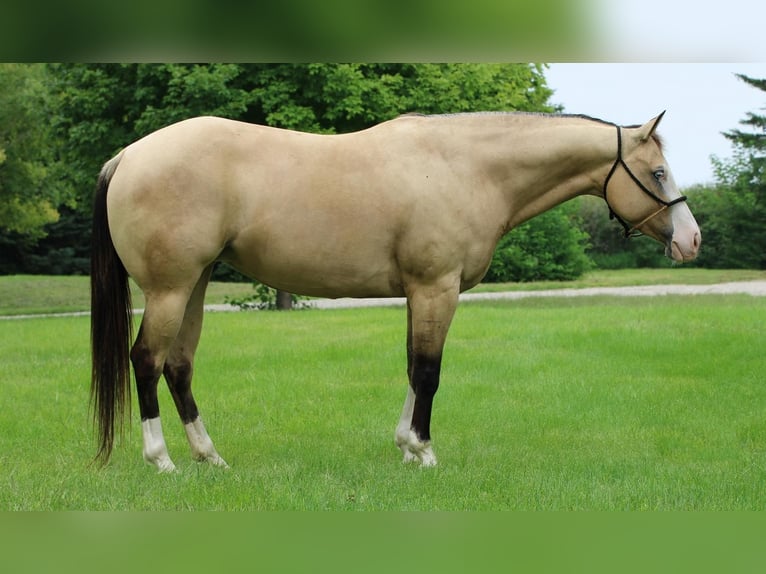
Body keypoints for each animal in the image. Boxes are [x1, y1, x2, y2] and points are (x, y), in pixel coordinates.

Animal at [90, 111, 704, 472]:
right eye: (657, 172)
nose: (691, 239)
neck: (466, 168)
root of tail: (129, 155)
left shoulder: (419, 293)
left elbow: (412, 367)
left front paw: (406, 446)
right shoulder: (437, 288)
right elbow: (429, 371)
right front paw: (425, 452)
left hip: (194, 284)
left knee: (179, 366)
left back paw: (209, 456)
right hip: (169, 288)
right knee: (146, 361)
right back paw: (161, 460)